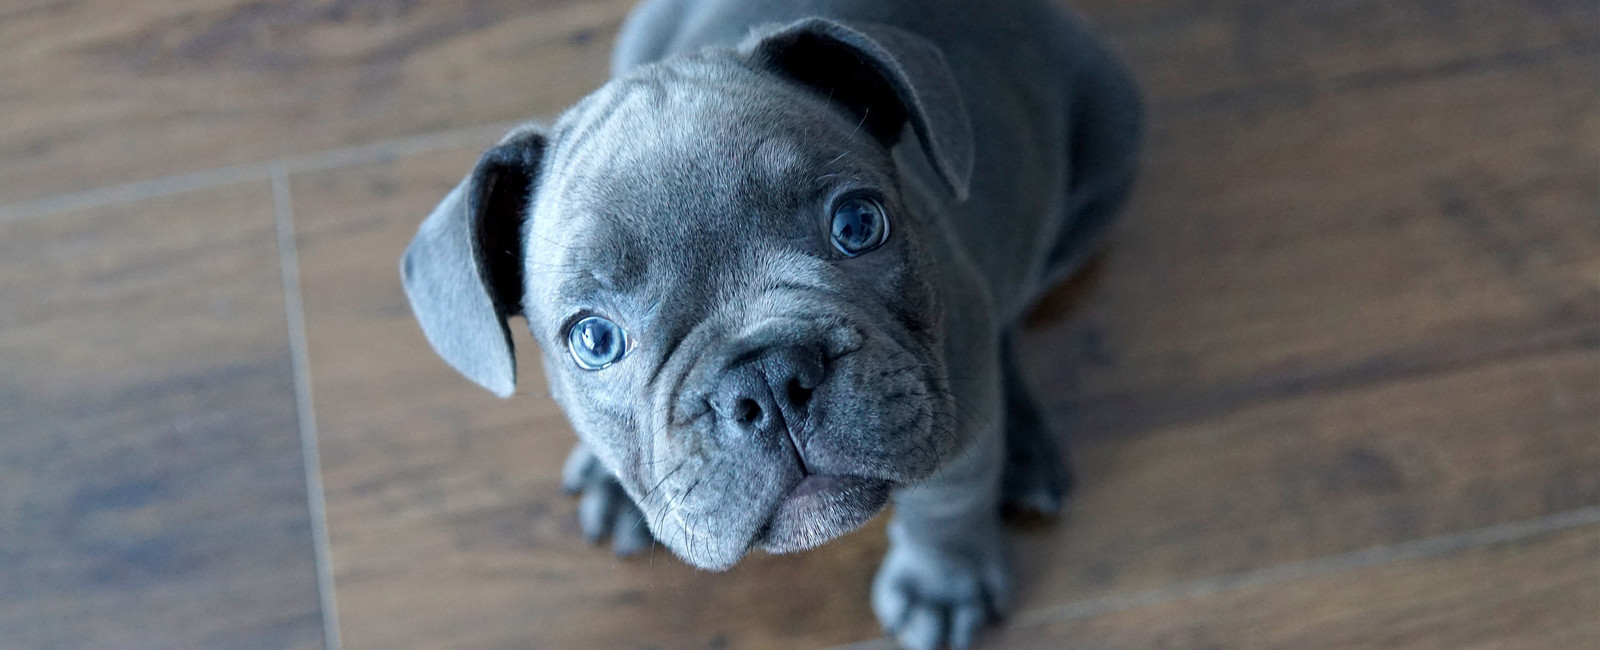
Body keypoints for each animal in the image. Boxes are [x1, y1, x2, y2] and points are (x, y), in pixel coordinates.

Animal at [406, 1, 1145, 643]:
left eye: (858, 224)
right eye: (594, 339)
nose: (765, 379)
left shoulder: (956, 421)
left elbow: (947, 500)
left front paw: (940, 587)